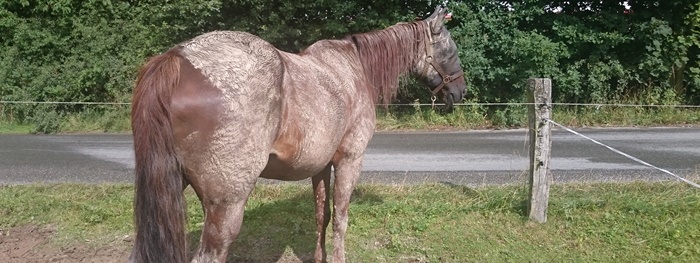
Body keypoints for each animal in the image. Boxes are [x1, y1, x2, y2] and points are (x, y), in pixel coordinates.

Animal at [129, 6, 468, 263]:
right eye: (450, 49)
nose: (460, 91)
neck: (354, 68)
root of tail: (176, 58)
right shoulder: (350, 160)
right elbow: (341, 218)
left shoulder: (320, 167)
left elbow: (322, 216)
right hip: (227, 205)